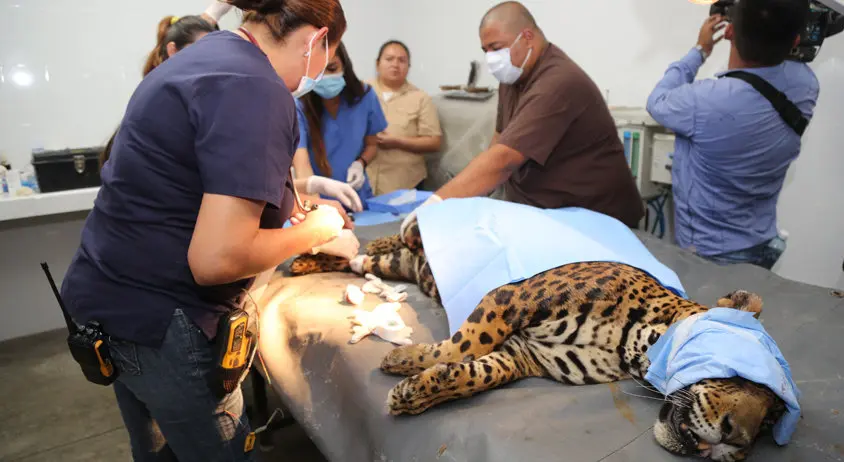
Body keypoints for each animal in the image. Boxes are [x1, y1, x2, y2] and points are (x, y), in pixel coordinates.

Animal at [289, 219, 786, 462]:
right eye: (742, 375)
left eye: (768, 424)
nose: (737, 442)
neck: (632, 345)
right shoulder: (512, 297)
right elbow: (463, 344)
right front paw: (407, 360)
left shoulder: (524, 356)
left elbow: (474, 372)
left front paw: (417, 388)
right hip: (417, 239)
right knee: (392, 239)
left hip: (396, 267)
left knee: (364, 258)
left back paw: (310, 261)